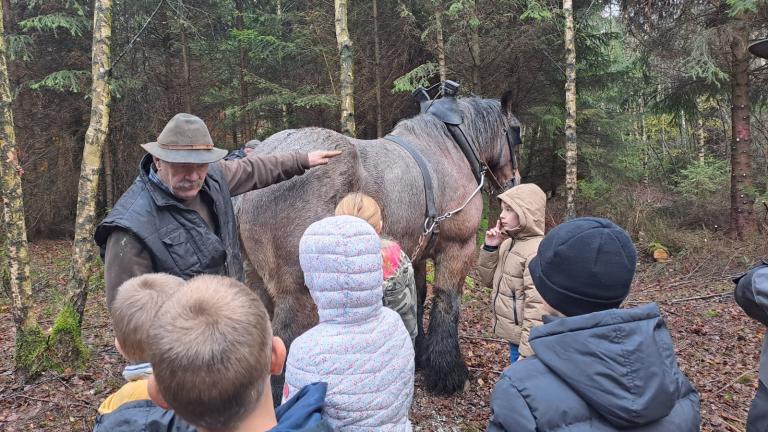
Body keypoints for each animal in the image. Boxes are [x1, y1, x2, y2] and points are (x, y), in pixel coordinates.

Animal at [237, 93, 520, 394]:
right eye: (516, 133)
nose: (514, 183)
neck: (451, 149)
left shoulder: (417, 251)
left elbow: (419, 298)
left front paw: (419, 355)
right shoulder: (458, 247)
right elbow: (447, 303)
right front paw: (448, 373)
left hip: (257, 282)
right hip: (297, 294)